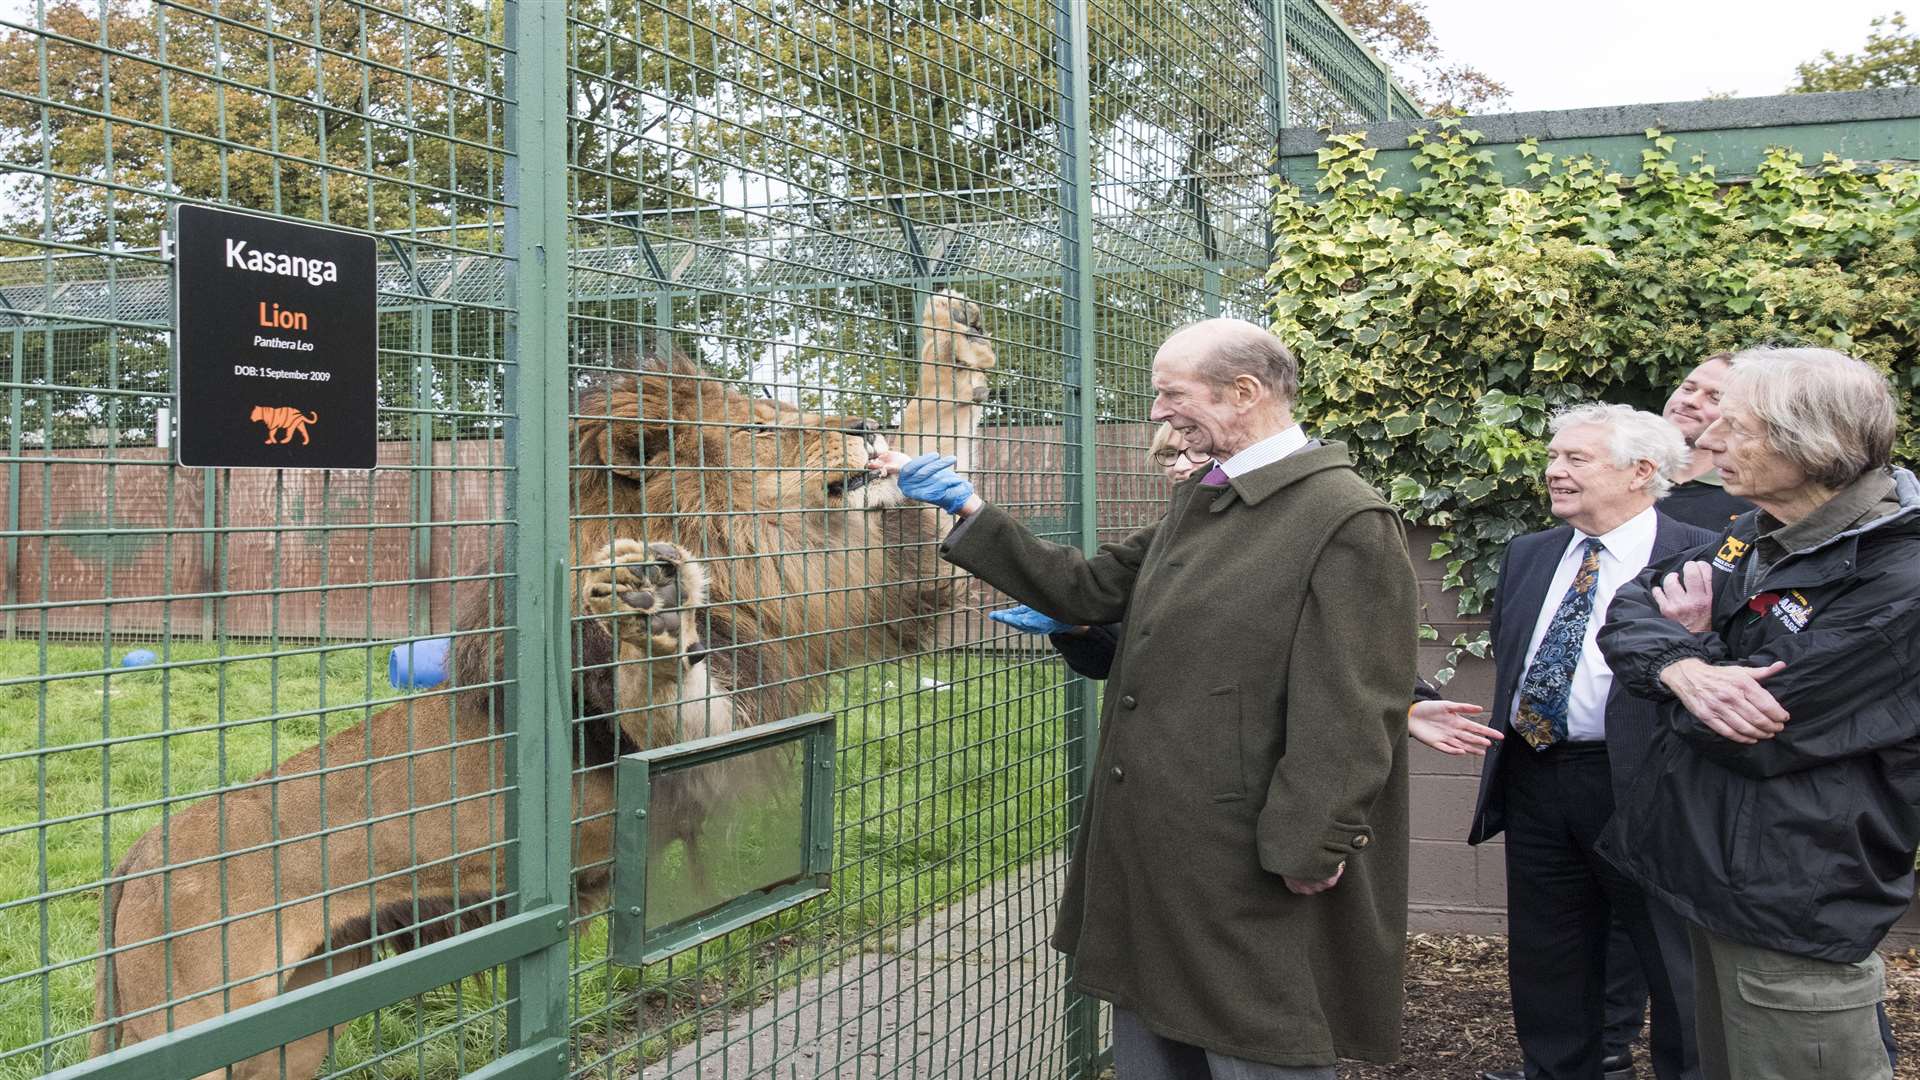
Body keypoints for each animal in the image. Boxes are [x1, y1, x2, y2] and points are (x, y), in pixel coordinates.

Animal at [91, 290, 998, 1068]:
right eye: (765, 426)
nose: (862, 424)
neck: (753, 556)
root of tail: (133, 858)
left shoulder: (842, 617)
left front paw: (954, 353)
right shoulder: (686, 742)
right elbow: (662, 691)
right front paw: (653, 607)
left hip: (297, 1024)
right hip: (201, 1020)